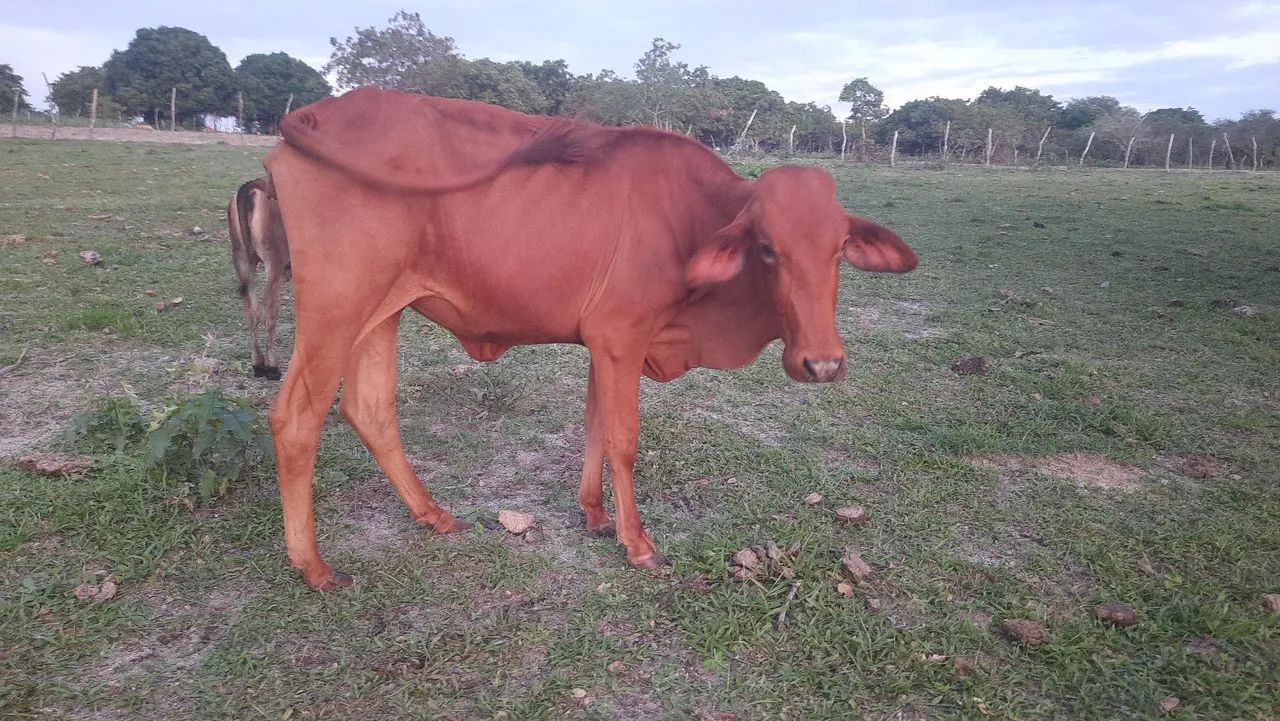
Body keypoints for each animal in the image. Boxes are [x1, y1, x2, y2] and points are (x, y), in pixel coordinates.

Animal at [227, 178, 290, 380]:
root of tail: (251, 186)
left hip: (242, 258)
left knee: (250, 308)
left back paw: (258, 364)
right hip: (274, 264)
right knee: (269, 310)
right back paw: (272, 367)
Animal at [264, 88, 917, 590]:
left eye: (838, 249)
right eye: (767, 248)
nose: (822, 363)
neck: (691, 218)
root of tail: (315, 114)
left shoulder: (604, 346)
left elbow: (596, 428)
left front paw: (596, 516)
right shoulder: (620, 338)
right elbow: (623, 440)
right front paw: (638, 542)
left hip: (381, 312)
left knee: (370, 409)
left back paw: (433, 516)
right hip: (335, 308)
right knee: (296, 417)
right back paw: (313, 566)